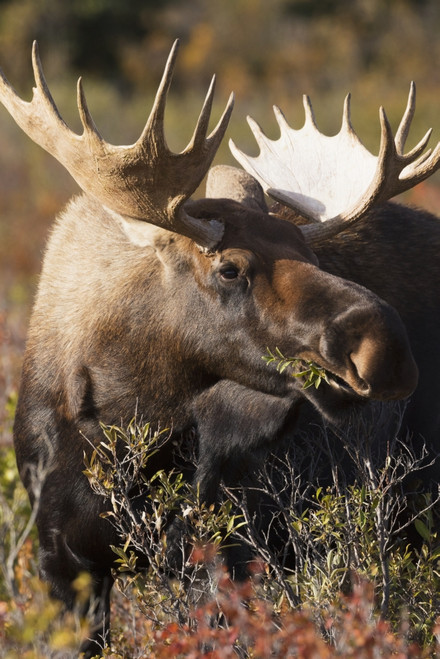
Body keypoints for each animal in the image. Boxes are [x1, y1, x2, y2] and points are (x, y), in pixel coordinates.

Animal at [1, 41, 439, 655]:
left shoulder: (224, 549)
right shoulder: (62, 561)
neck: (114, 420)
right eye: (229, 268)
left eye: (312, 252)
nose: (385, 346)